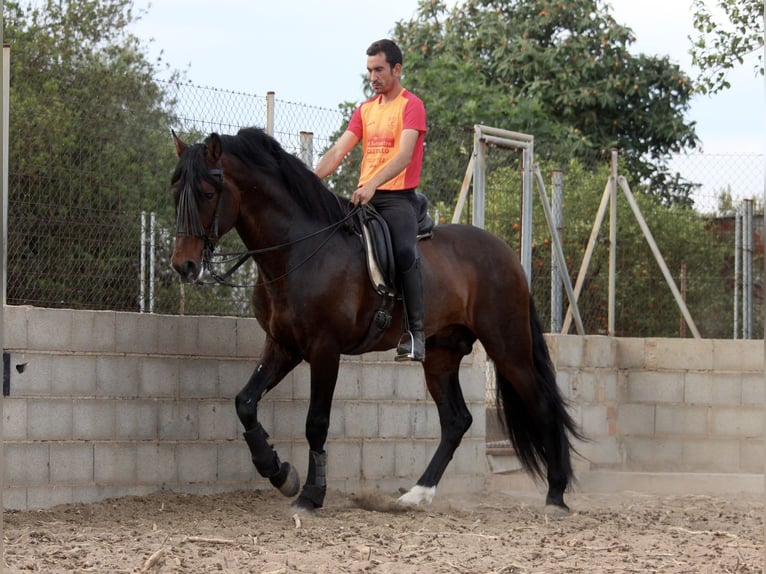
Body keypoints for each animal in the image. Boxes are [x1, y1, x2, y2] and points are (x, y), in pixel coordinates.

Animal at [171, 128, 584, 516]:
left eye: (206, 193)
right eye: (175, 193)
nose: (183, 266)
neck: (298, 249)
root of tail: (507, 255)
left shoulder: (324, 349)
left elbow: (316, 422)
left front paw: (310, 494)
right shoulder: (283, 345)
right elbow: (245, 402)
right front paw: (279, 472)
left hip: (507, 347)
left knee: (541, 405)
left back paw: (556, 496)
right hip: (441, 355)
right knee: (457, 421)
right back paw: (416, 495)